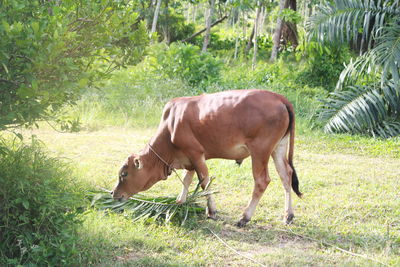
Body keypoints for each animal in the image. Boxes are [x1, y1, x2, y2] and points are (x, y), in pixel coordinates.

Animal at [111, 89, 302, 226]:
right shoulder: (188, 158)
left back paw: (245, 217)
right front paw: (180, 201)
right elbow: (187, 180)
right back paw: (288, 215)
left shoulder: (196, 153)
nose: (114, 193)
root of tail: (279, 97)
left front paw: (211, 211)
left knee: (262, 181)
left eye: (124, 174)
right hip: (278, 148)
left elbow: (204, 181)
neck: (170, 126)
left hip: (260, 151)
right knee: (286, 176)